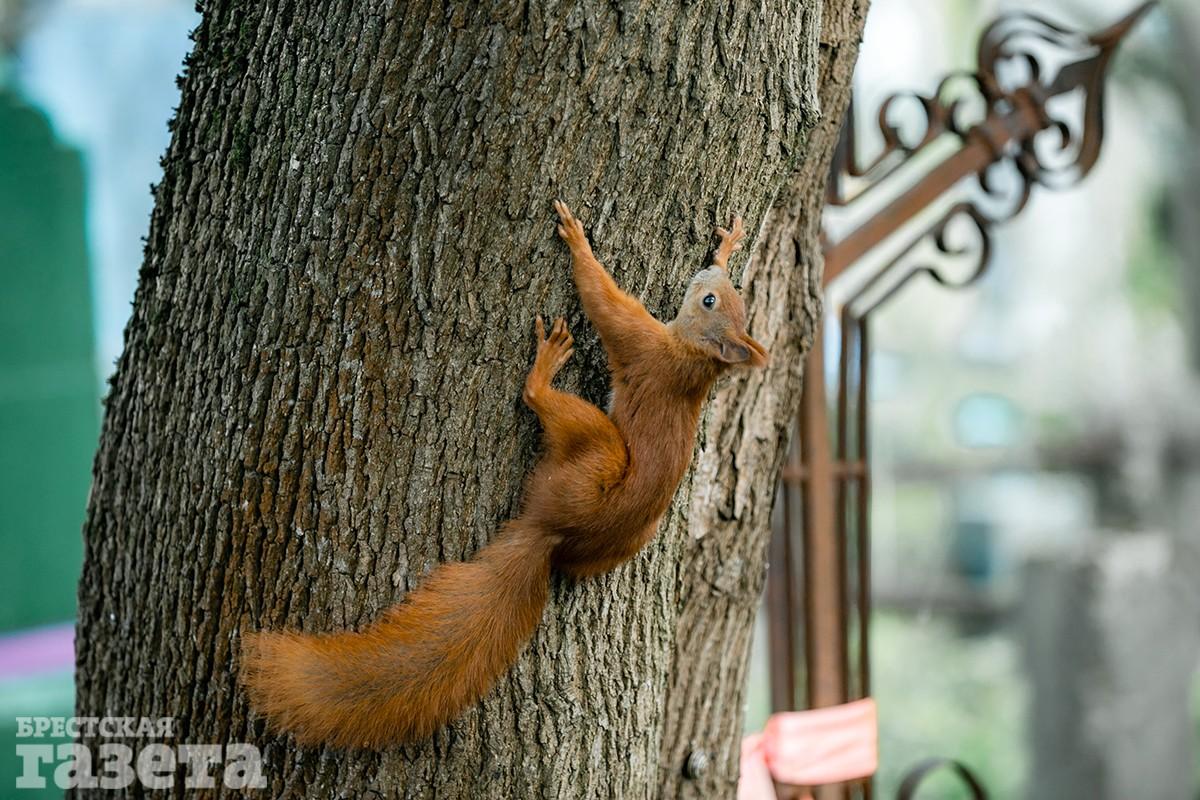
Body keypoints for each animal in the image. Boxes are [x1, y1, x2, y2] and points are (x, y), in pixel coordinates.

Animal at [241, 201, 768, 753]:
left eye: (708, 300)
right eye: (721, 295)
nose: (708, 274)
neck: (695, 363)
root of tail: (553, 530)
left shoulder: (642, 343)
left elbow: (604, 301)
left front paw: (579, 242)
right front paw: (728, 246)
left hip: (598, 450)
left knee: (544, 403)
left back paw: (543, 371)